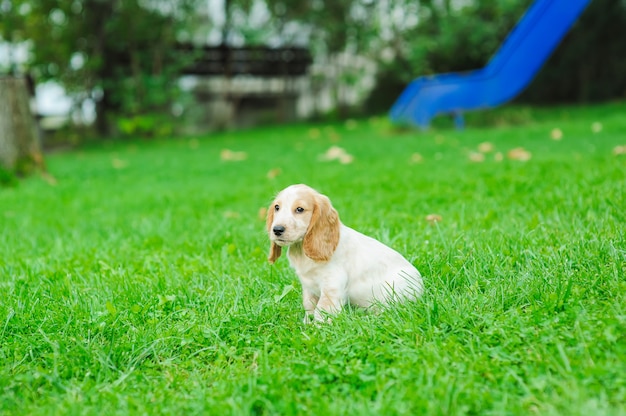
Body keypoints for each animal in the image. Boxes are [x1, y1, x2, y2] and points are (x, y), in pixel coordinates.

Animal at [266, 184, 422, 324]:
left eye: (299, 209)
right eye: (277, 207)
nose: (277, 229)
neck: (301, 250)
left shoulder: (332, 285)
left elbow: (322, 311)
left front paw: (317, 329)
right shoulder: (308, 288)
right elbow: (309, 306)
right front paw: (306, 324)